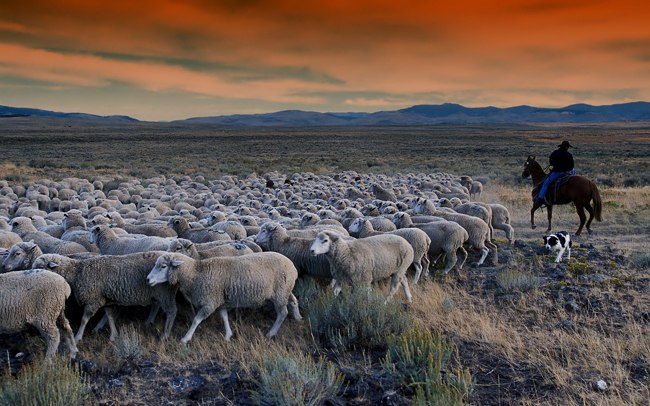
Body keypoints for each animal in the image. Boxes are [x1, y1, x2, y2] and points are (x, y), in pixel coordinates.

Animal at [31, 251, 176, 342]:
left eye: (40, 266)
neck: (77, 272)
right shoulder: (104, 299)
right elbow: (109, 316)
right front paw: (113, 335)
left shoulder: (92, 300)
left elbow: (84, 320)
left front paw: (78, 337)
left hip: (164, 292)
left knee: (171, 312)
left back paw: (165, 334)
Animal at [146, 254, 300, 342]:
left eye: (163, 266)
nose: (147, 279)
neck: (196, 273)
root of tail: (293, 267)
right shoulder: (220, 300)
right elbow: (224, 316)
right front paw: (228, 335)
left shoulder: (210, 301)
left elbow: (196, 320)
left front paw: (185, 338)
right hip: (285, 291)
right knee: (293, 301)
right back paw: (299, 318)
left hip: (280, 293)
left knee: (282, 313)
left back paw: (271, 333)